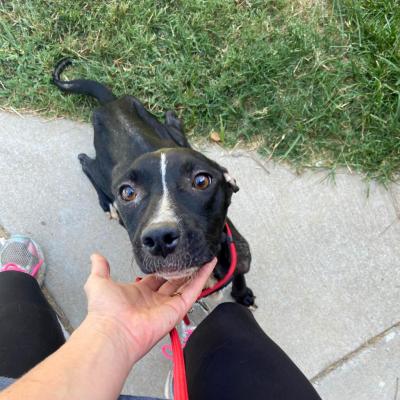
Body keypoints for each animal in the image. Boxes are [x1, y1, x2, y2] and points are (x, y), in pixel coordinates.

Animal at [52, 57, 253, 306]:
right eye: (128, 193)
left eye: (201, 181)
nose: (159, 238)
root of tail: (110, 105)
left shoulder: (241, 257)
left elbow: (240, 276)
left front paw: (242, 294)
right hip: (105, 171)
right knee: (85, 163)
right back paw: (106, 202)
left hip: (161, 128)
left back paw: (173, 118)